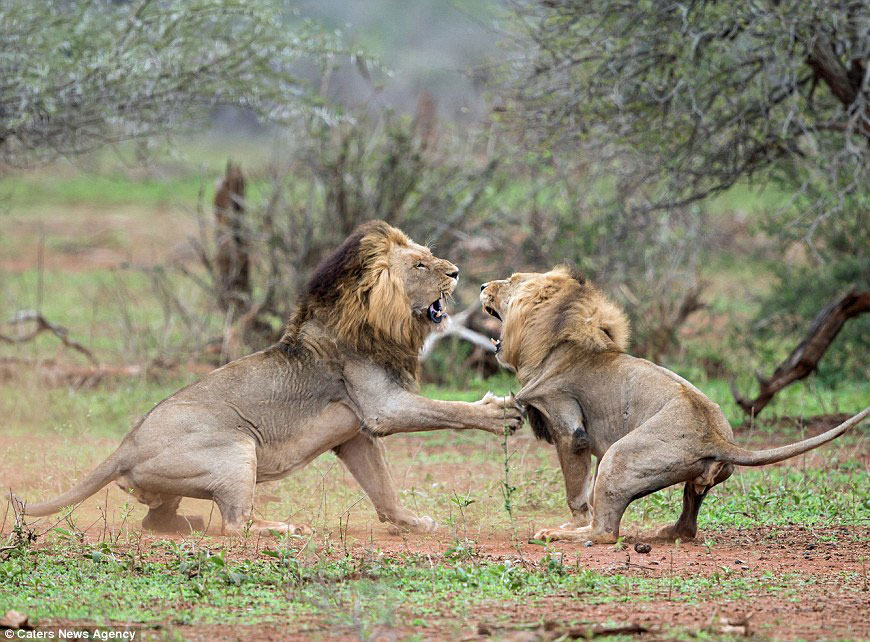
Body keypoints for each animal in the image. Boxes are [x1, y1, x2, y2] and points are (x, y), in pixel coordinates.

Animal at [11, 222, 524, 532]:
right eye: (419, 264)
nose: (456, 272)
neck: (379, 323)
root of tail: (124, 447)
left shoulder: (354, 434)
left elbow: (384, 489)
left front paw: (415, 523)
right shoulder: (381, 408)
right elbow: (446, 409)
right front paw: (499, 413)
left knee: (157, 522)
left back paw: (189, 525)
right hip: (237, 450)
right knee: (236, 524)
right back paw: (281, 528)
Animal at [484, 264, 870, 540]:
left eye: (511, 281)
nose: (482, 287)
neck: (553, 340)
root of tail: (717, 437)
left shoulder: (568, 425)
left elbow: (577, 491)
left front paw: (569, 524)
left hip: (619, 456)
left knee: (606, 532)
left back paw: (557, 535)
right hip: (699, 475)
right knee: (688, 520)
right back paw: (666, 532)